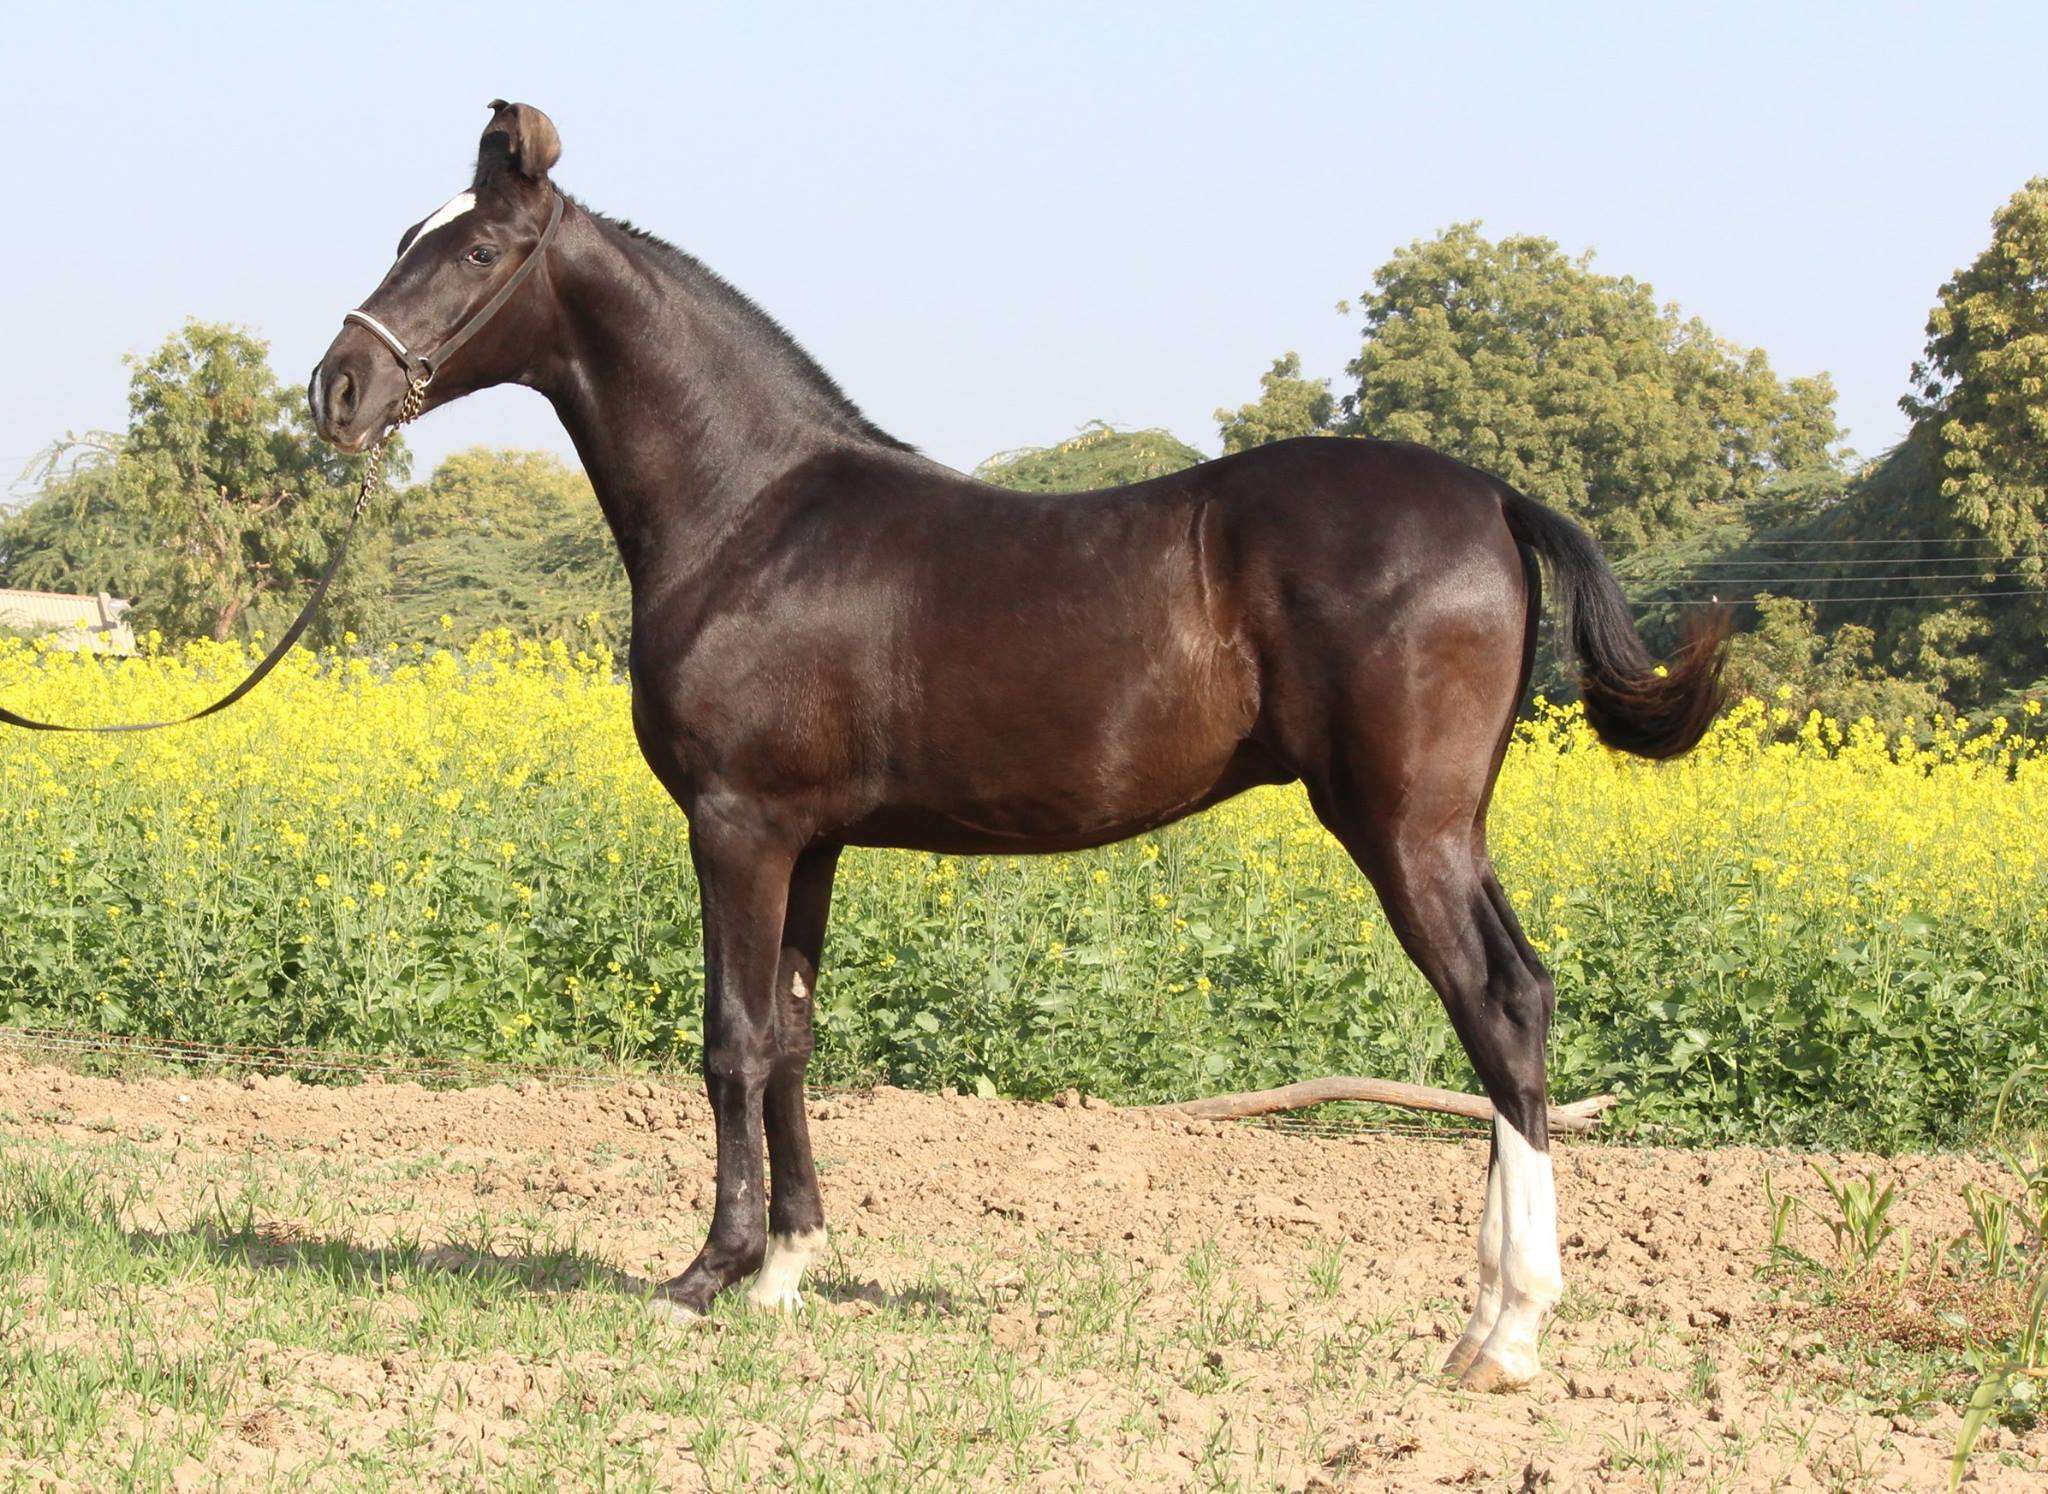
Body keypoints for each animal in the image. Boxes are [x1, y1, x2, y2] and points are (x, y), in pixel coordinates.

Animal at [312, 101, 1726, 1391]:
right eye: (405, 236)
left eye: (480, 249)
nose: (339, 389)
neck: (750, 511)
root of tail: (1493, 496)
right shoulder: (810, 840)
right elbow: (792, 1036)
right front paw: (783, 1272)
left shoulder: (736, 824)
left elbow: (730, 1038)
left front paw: (701, 1277)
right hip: (1447, 829)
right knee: (1522, 1002)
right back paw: (1489, 1322)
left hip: (1401, 829)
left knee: (1494, 1010)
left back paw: (1504, 1335)